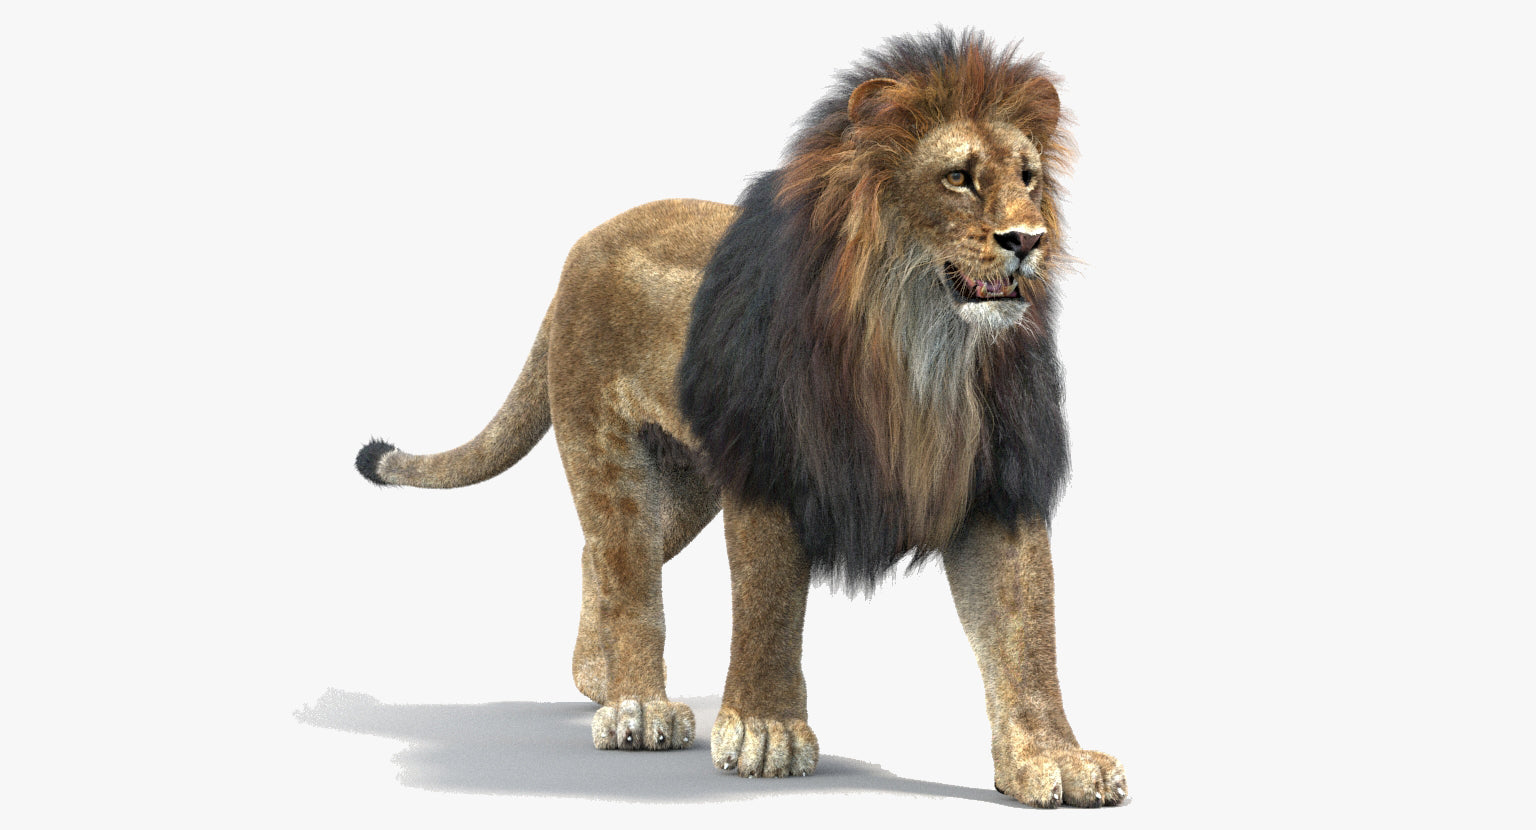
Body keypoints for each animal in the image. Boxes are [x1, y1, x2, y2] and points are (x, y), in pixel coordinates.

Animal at [355, 29, 1125, 807]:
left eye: (1028, 177)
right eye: (959, 178)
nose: (1027, 239)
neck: (918, 347)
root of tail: (583, 247)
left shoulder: (1001, 481)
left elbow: (1027, 634)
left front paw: (1054, 759)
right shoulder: (770, 467)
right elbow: (768, 607)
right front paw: (765, 732)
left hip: (690, 481)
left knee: (597, 556)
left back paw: (598, 678)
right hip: (608, 451)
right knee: (627, 567)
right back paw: (637, 707)